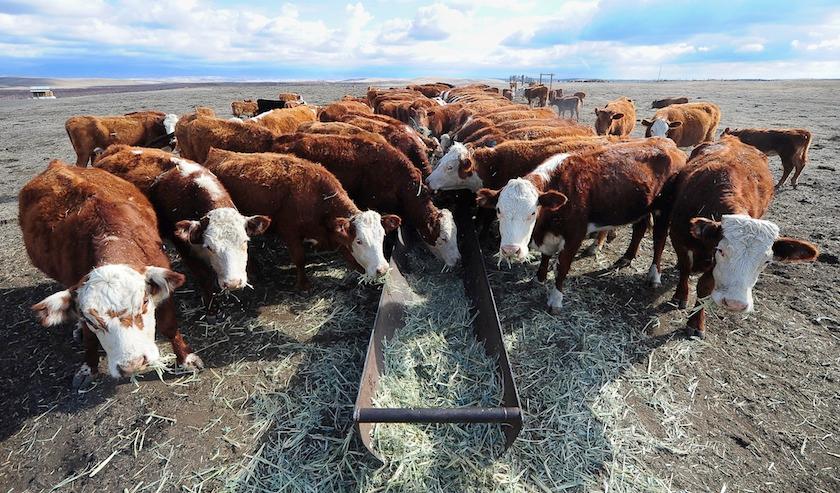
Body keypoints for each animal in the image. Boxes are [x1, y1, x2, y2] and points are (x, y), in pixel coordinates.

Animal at [19, 161, 201, 384]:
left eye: (144, 302)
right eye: (91, 320)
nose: (132, 365)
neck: (112, 236)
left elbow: (169, 325)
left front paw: (186, 359)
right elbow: (90, 338)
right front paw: (88, 368)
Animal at [93, 145, 271, 305]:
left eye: (244, 242)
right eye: (210, 247)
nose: (233, 283)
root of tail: (113, 149)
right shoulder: (182, 245)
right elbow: (203, 276)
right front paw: (211, 305)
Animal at [204, 148, 400, 290]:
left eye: (382, 236)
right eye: (359, 241)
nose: (382, 269)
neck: (317, 197)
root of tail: (217, 152)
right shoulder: (290, 232)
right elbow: (300, 258)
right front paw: (303, 284)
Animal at [520, 138, 687, 313]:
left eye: (532, 213)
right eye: (504, 211)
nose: (512, 248)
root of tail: (668, 143)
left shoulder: (575, 235)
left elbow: (562, 267)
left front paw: (555, 300)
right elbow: (545, 257)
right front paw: (539, 279)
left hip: (663, 209)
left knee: (659, 239)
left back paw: (654, 275)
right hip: (642, 208)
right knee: (639, 230)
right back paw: (626, 257)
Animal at [660, 135, 818, 337]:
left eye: (767, 261)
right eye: (721, 250)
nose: (735, 304)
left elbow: (705, 285)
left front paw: (696, 322)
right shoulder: (679, 238)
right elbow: (685, 268)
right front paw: (680, 296)